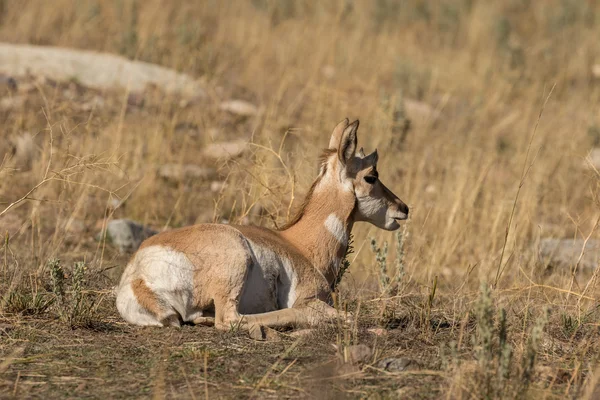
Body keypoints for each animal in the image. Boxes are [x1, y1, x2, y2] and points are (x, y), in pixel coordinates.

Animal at [115, 118, 410, 338]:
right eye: (371, 176)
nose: (404, 208)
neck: (299, 244)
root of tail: (137, 276)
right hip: (237, 258)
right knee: (231, 318)